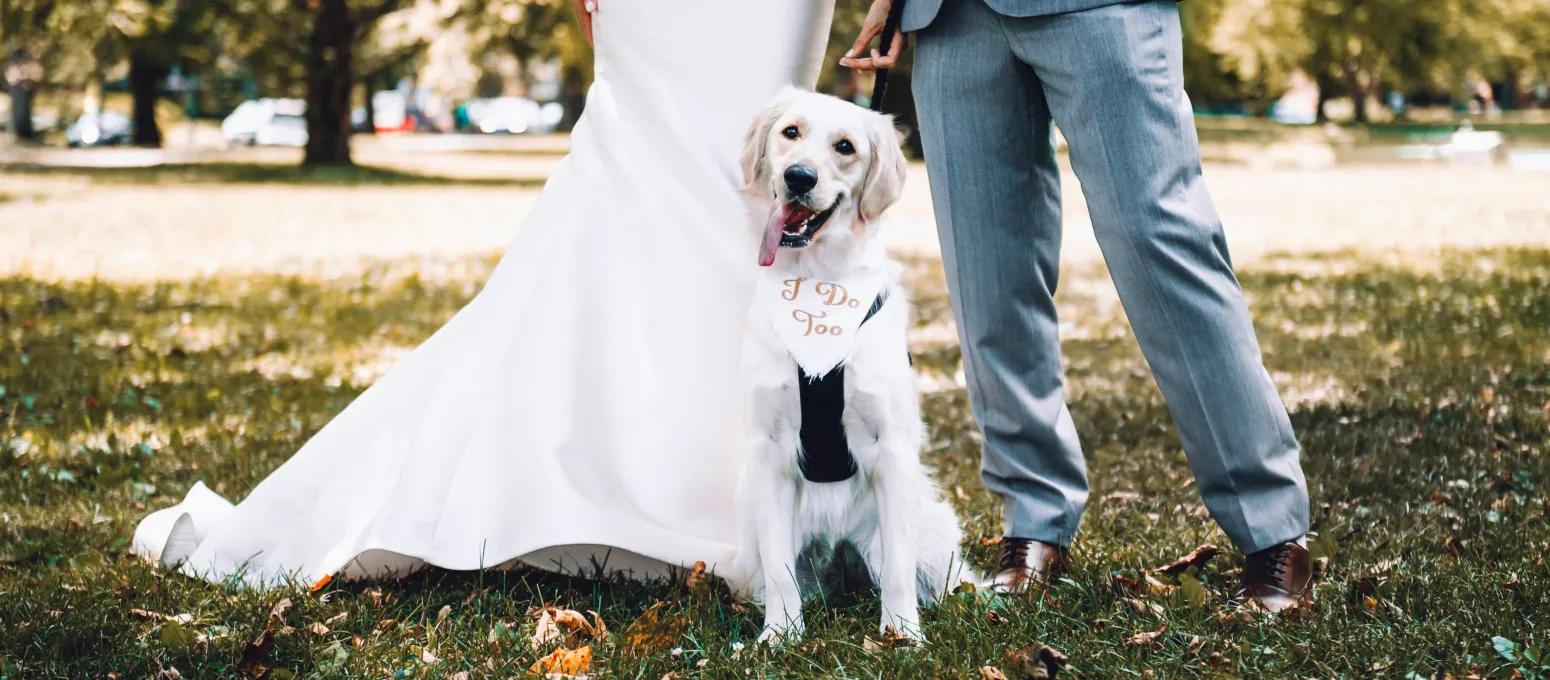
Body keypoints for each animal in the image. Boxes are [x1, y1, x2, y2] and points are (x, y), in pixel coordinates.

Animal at [731, 89, 961, 644]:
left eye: (845, 147)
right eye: (790, 132)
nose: (799, 177)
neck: (818, 282)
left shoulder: (893, 448)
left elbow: (898, 565)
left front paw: (902, 635)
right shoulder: (768, 451)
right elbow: (780, 570)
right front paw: (781, 635)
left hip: (932, 528)